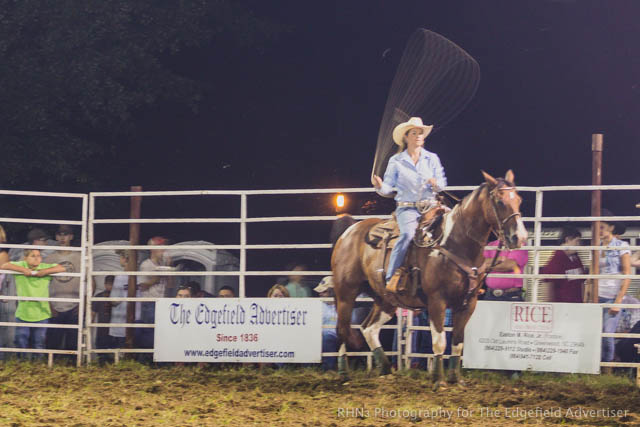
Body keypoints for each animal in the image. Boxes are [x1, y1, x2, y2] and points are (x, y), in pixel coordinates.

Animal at [330, 171, 524, 388]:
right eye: (499, 201)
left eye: (519, 200)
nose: (519, 237)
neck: (456, 243)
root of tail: (348, 233)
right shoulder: (437, 301)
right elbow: (439, 341)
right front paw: (439, 380)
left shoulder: (468, 303)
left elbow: (457, 342)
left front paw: (455, 379)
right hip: (346, 292)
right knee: (342, 328)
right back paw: (344, 374)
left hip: (385, 299)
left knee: (368, 328)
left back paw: (386, 369)